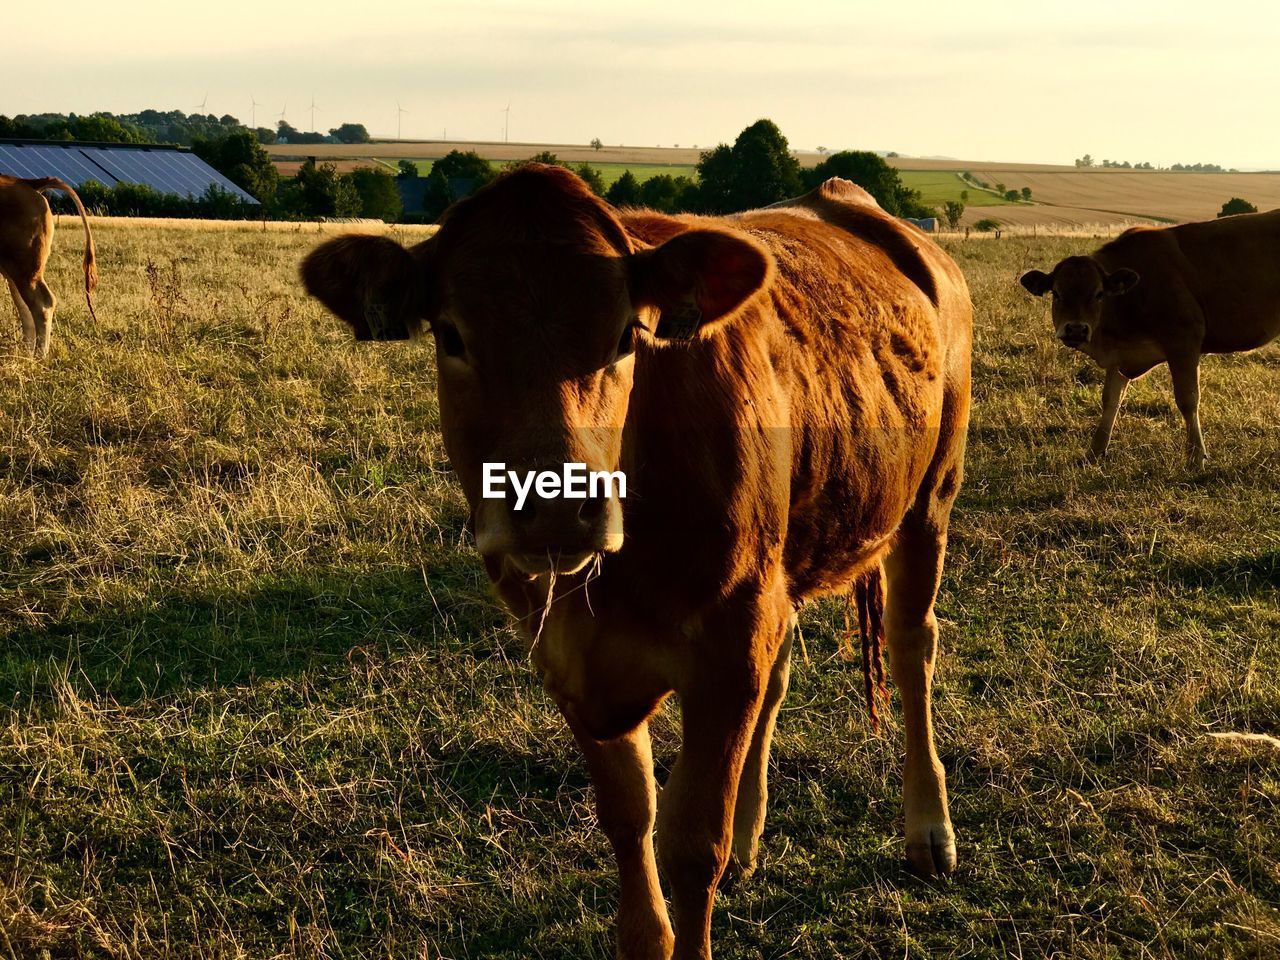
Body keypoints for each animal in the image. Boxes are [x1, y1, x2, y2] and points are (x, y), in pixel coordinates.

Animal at [0, 174, 97, 358]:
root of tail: (24, 182)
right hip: (16, 268)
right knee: (25, 307)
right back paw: (27, 355)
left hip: (24, 267)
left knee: (41, 304)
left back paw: (39, 355)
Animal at [304, 167, 972, 960]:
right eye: (451, 335)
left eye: (628, 333)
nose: (555, 504)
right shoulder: (573, 662)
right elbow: (630, 817)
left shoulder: (728, 645)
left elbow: (692, 842)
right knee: (782, 678)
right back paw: (752, 833)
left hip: (930, 497)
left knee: (911, 647)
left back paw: (928, 828)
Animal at [1018, 209, 1280, 471]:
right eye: (1056, 293)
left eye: (1099, 294)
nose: (1075, 329)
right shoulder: (1120, 356)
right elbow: (1110, 400)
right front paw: (1093, 453)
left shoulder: (1183, 341)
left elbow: (1188, 399)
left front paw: (1196, 457)